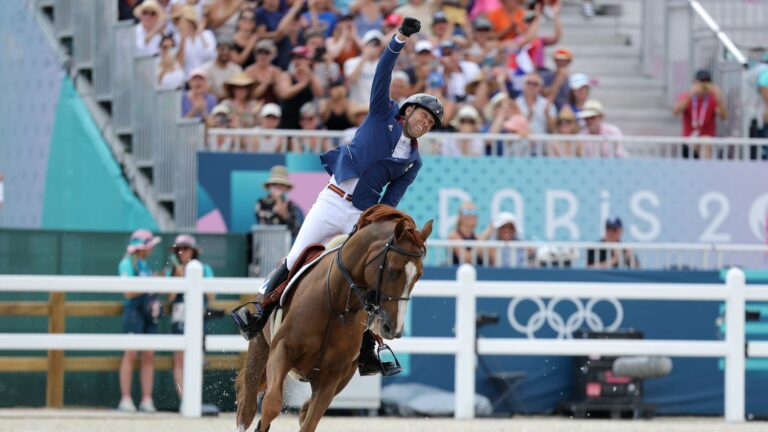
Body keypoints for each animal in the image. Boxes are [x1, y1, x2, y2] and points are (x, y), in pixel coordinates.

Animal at [234, 206, 432, 432]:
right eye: (392, 270)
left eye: (419, 275)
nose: (394, 329)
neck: (336, 304)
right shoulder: (282, 350)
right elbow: (271, 404)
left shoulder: (331, 378)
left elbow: (309, 422)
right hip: (259, 348)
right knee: (247, 405)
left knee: (304, 410)